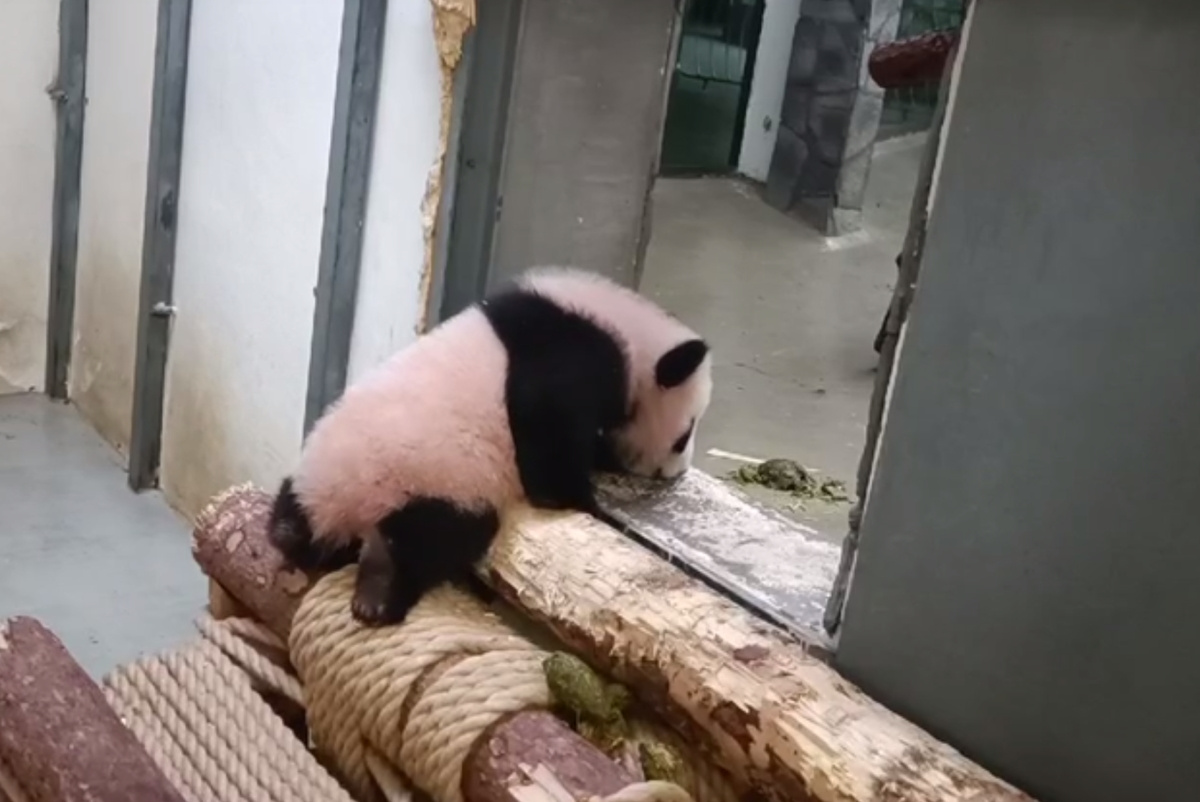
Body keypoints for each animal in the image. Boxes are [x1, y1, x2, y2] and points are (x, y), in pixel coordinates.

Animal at [268, 265, 713, 626]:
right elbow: (547, 440)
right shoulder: (569, 356)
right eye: (684, 435)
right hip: (437, 480)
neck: (626, 330)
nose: (675, 473)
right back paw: (378, 591)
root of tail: (335, 506)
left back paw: (292, 533)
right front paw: (584, 502)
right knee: (430, 538)